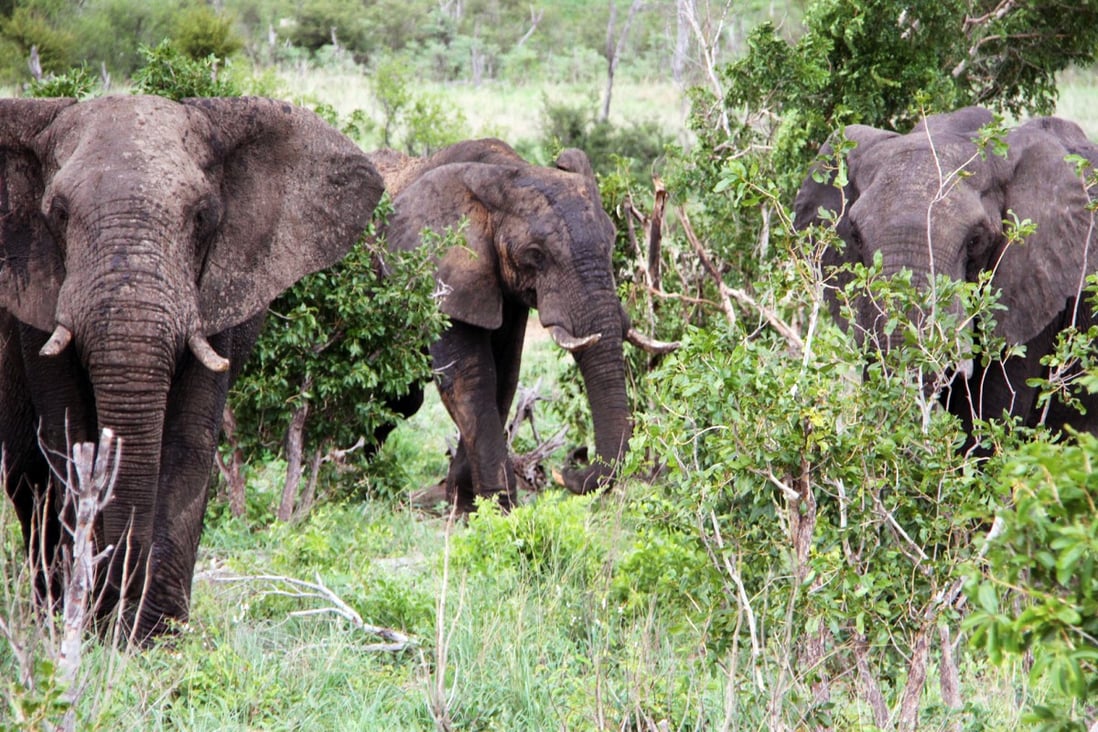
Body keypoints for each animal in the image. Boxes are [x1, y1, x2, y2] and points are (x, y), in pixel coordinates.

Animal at [0, 94, 383, 640]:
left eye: (203, 216)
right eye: (58, 212)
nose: (116, 610)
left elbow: (187, 441)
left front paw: (153, 636)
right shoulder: (39, 299)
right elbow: (67, 434)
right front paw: (93, 628)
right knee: (27, 477)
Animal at [368, 139, 675, 512]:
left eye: (613, 242)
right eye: (535, 254)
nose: (570, 466)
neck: (504, 170)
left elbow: (504, 376)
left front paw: (468, 506)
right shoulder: (440, 270)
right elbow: (471, 379)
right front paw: (497, 510)